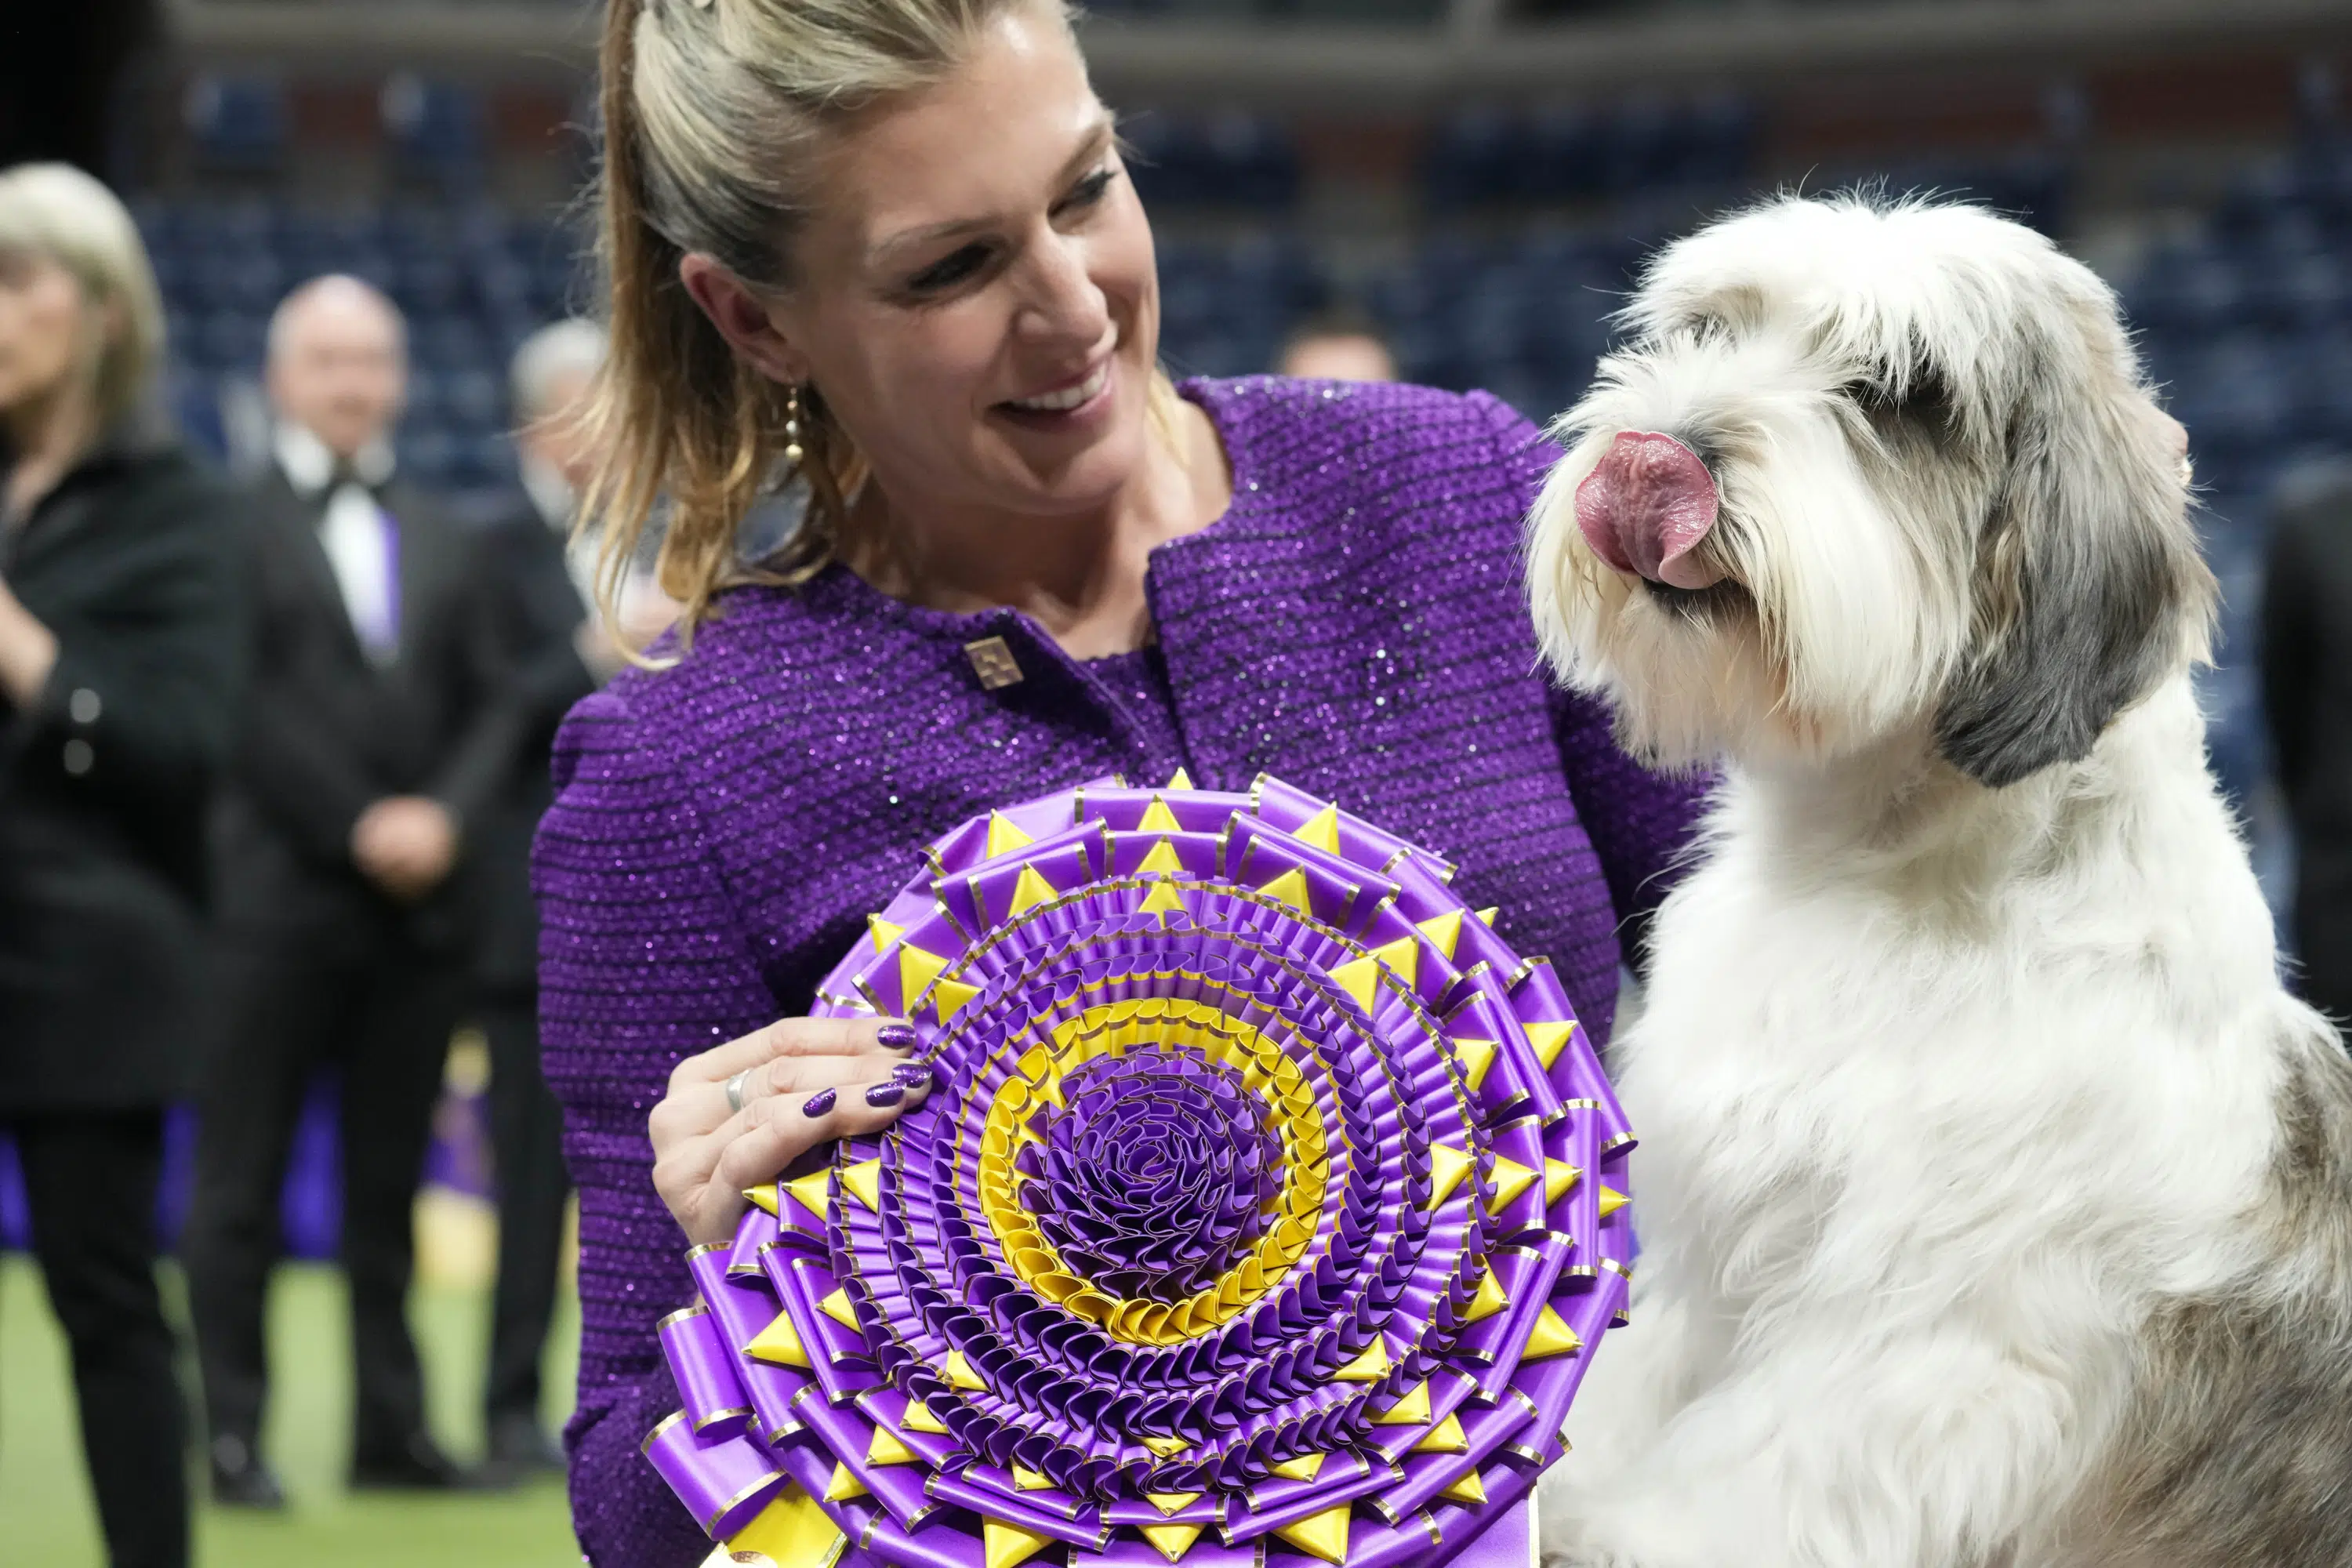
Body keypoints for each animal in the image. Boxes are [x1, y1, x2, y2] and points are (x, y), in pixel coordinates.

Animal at [1524, 196, 2352, 1568]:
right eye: (1705, 333)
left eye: (1898, 395)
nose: (1654, 460)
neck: (1885, 868)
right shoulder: (1711, 1267)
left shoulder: (1930, 1362)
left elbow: (1726, 1497)